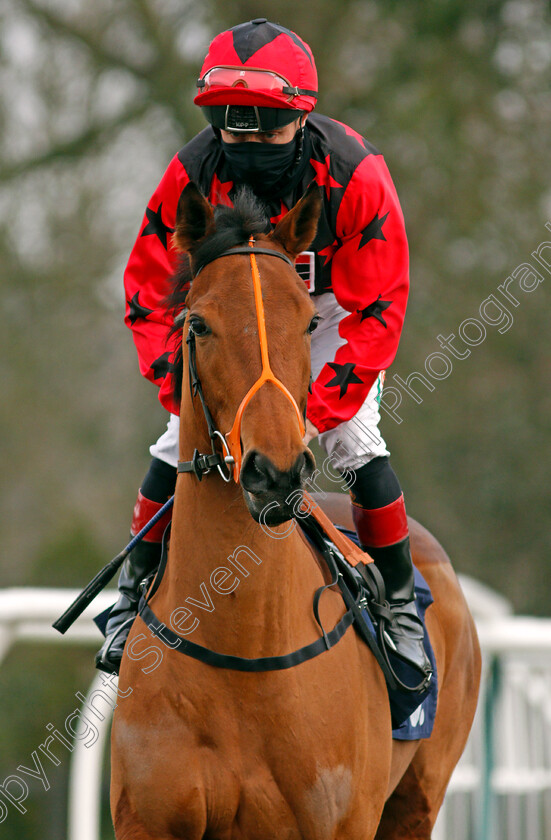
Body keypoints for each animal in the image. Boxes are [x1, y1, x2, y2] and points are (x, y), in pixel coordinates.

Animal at [110, 184, 480, 840]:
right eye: (197, 323)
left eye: (307, 321)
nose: (275, 470)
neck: (240, 643)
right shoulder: (145, 822)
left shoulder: (341, 823)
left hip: (416, 801)